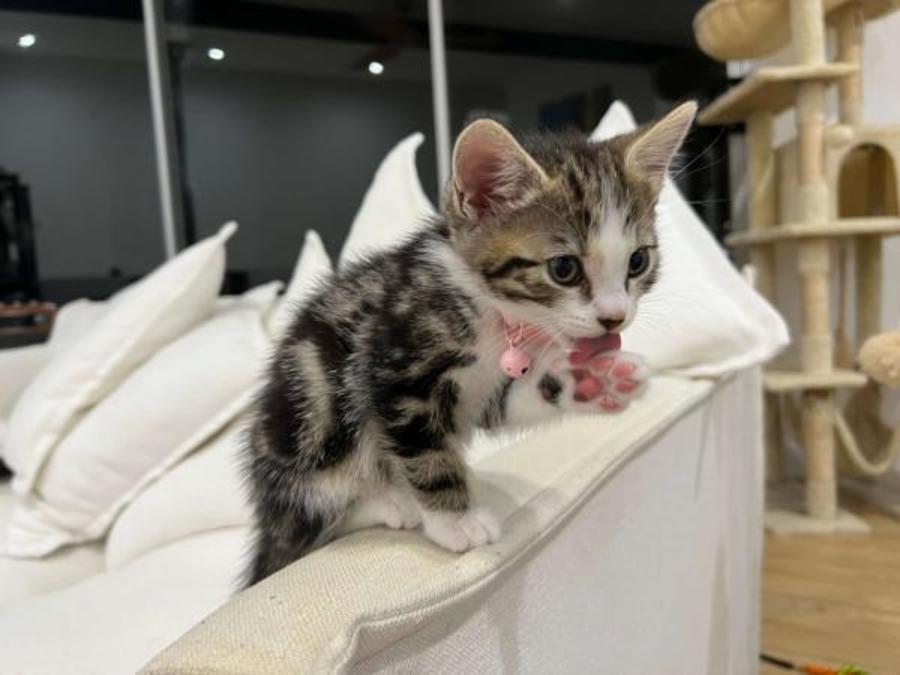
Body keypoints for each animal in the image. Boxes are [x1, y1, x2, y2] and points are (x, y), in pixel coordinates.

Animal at [242, 101, 697, 587]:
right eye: (563, 269)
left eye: (638, 261)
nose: (615, 316)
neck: (494, 315)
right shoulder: (394, 370)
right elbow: (424, 449)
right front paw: (455, 519)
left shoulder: (481, 394)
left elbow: (515, 398)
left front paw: (593, 379)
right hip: (314, 425)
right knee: (311, 524)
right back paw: (391, 501)